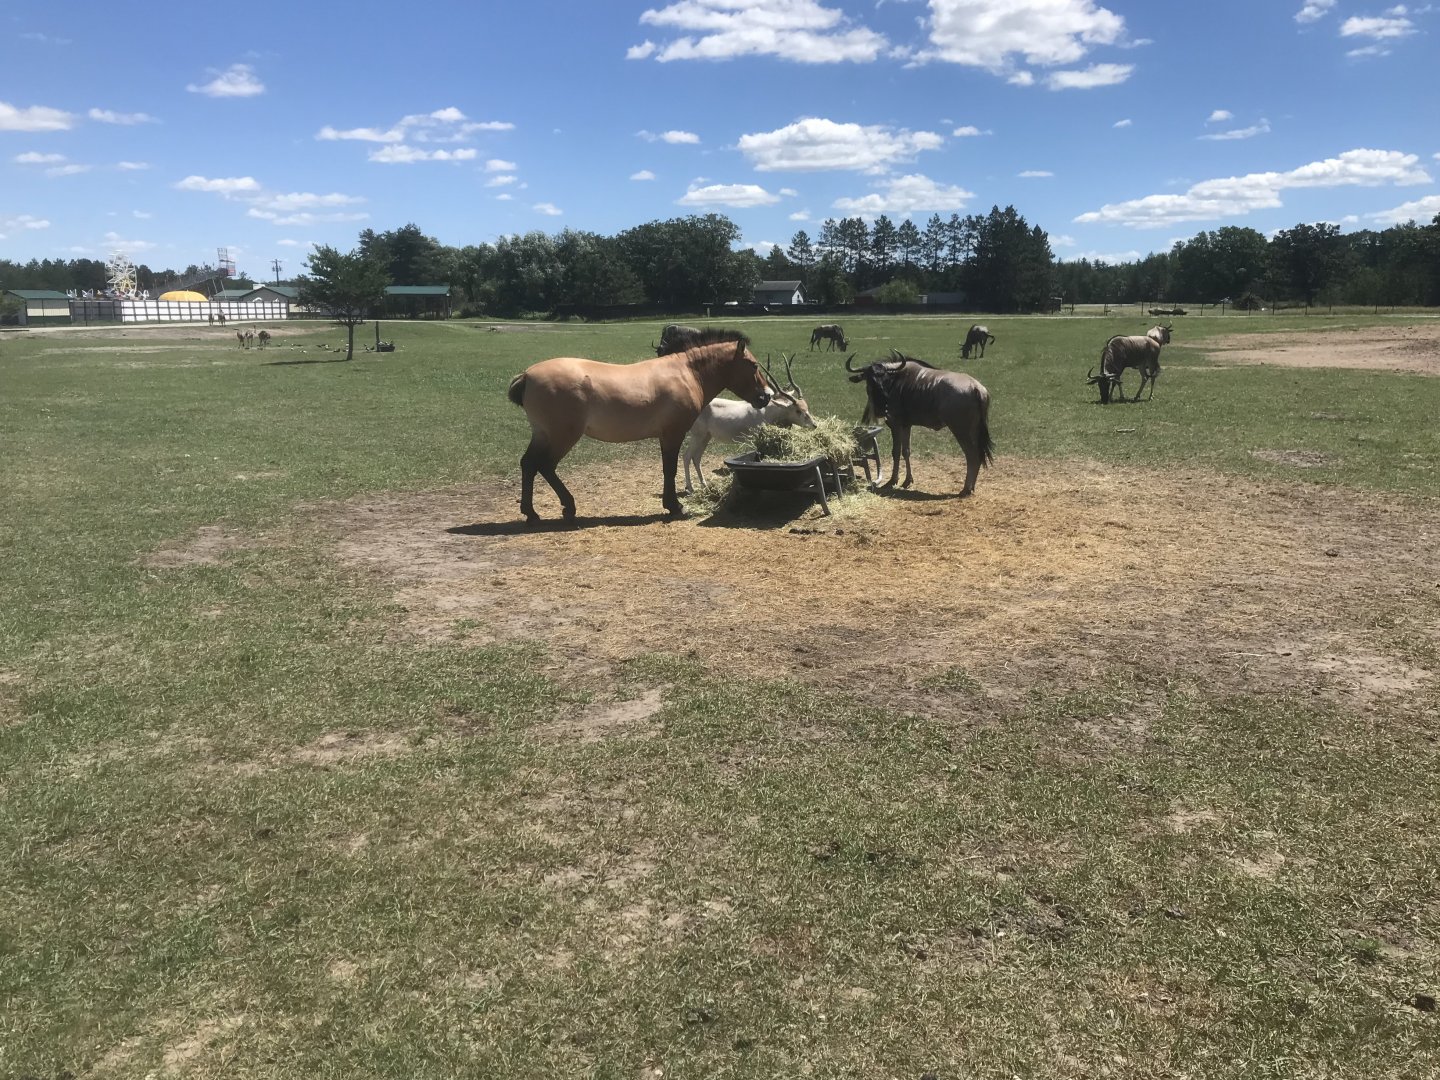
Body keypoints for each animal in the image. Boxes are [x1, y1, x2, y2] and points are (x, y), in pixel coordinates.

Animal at [508, 330, 772, 523]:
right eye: (753, 365)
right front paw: (675, 506)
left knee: (529, 464)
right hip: (562, 436)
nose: (766, 396)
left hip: (543, 434)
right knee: (544, 465)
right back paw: (567, 507)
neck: (686, 373)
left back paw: (532, 513)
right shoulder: (672, 434)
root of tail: (527, 376)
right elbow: (669, 470)